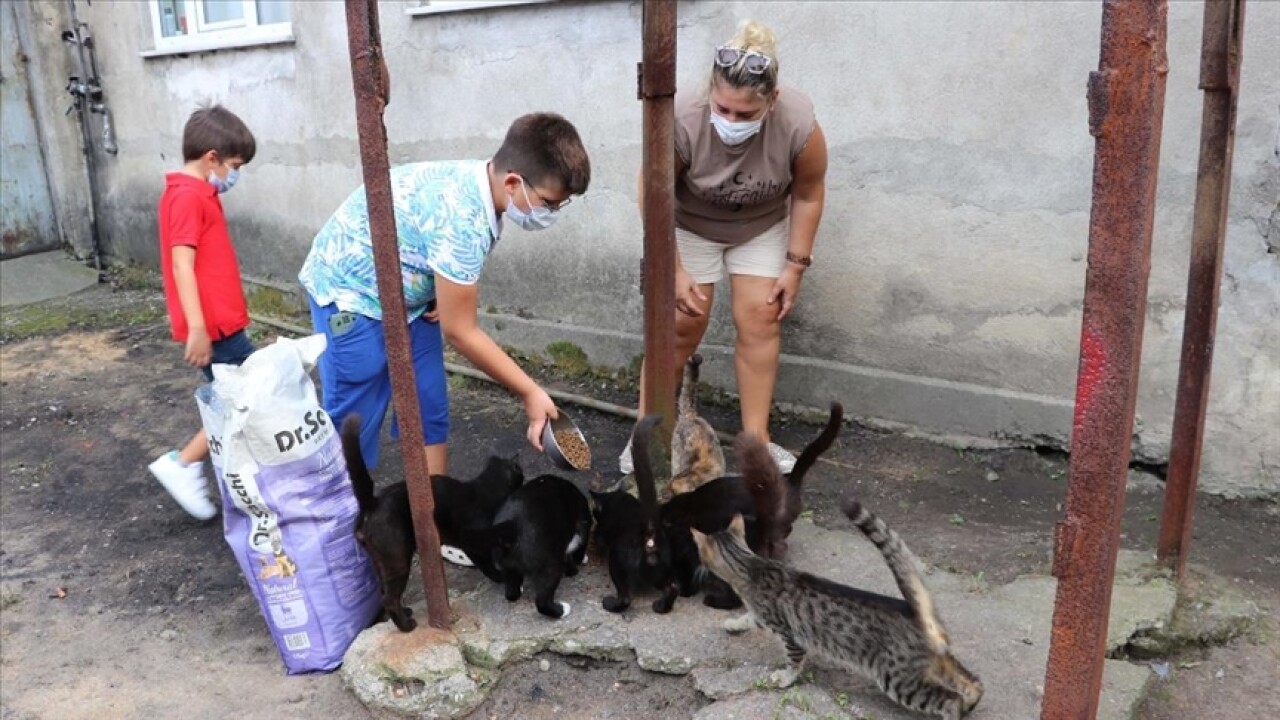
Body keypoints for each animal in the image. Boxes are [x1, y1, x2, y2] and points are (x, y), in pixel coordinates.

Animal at [340, 412, 524, 630]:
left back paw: (404, 613)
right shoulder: (472, 543)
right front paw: (500, 577)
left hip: (379, 561)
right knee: (389, 598)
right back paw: (406, 626)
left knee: (383, 593)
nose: (524, 476)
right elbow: (486, 564)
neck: (485, 489)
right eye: (521, 472)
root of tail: (373, 503)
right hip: (397, 558)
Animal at [486, 471, 591, 617]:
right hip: (550, 565)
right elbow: (577, 552)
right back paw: (562, 610)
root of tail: (511, 525)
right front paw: (579, 563)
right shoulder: (582, 526)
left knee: (511, 592)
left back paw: (519, 588)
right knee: (542, 601)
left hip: (506, 565)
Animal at [696, 497, 983, 712]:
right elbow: (747, 618)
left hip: (898, 679)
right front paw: (733, 623)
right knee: (973, 682)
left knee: (950, 701)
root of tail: (915, 611)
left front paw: (785, 678)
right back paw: (971, 700)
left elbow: (793, 662)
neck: (753, 567)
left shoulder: (790, 635)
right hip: (937, 660)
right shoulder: (761, 615)